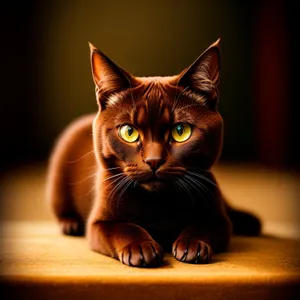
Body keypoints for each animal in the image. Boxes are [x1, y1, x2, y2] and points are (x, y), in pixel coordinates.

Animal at [46, 38, 260, 268]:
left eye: (180, 131)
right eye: (129, 132)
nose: (154, 160)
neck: (159, 203)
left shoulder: (217, 217)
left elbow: (204, 225)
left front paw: (193, 244)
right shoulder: (100, 222)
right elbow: (124, 228)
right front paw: (140, 247)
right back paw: (70, 223)